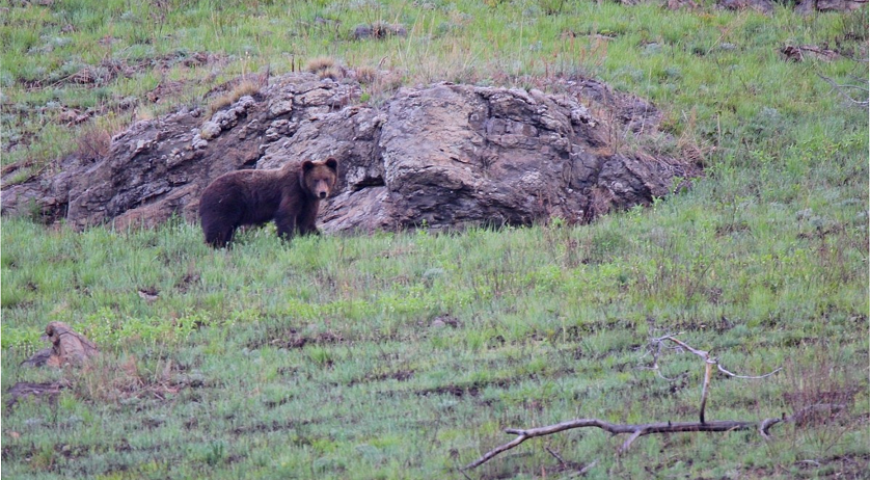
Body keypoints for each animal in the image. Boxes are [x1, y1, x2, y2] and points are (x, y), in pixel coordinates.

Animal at [199, 158, 338, 248]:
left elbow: (307, 222)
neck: (304, 189)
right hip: (223, 203)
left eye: (326, 178)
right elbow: (285, 215)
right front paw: (287, 241)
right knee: (216, 228)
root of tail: (204, 191)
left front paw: (319, 238)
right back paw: (214, 246)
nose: (322, 193)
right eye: (315, 180)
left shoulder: (309, 202)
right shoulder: (291, 190)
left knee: (226, 231)